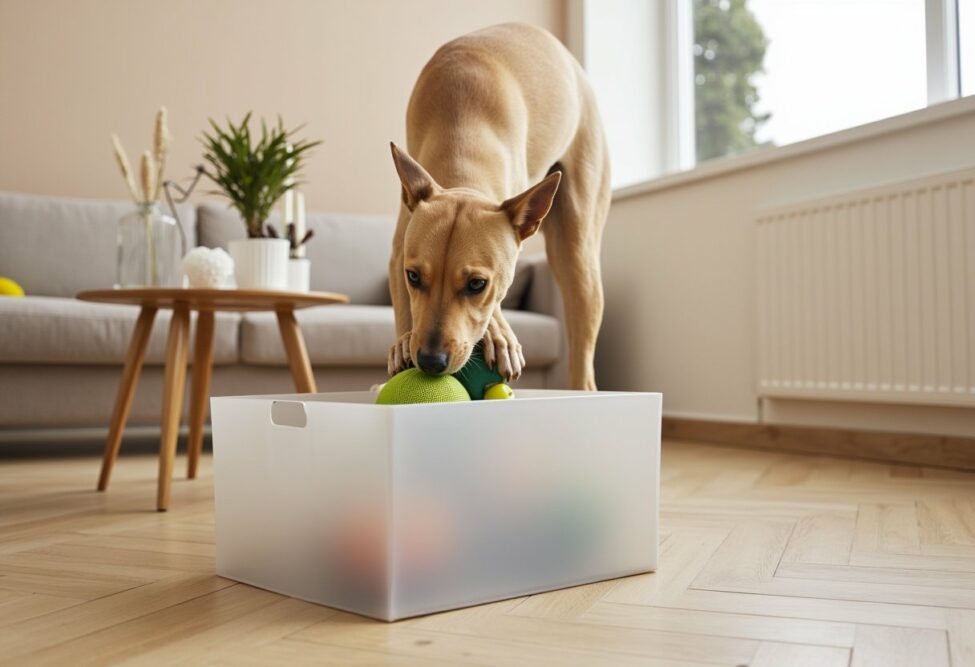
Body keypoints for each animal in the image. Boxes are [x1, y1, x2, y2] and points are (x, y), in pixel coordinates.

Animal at [388, 22, 608, 392]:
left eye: (477, 284)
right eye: (414, 277)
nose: (431, 361)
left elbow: (495, 303)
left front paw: (500, 334)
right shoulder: (399, 252)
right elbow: (406, 304)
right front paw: (404, 339)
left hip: (580, 263)